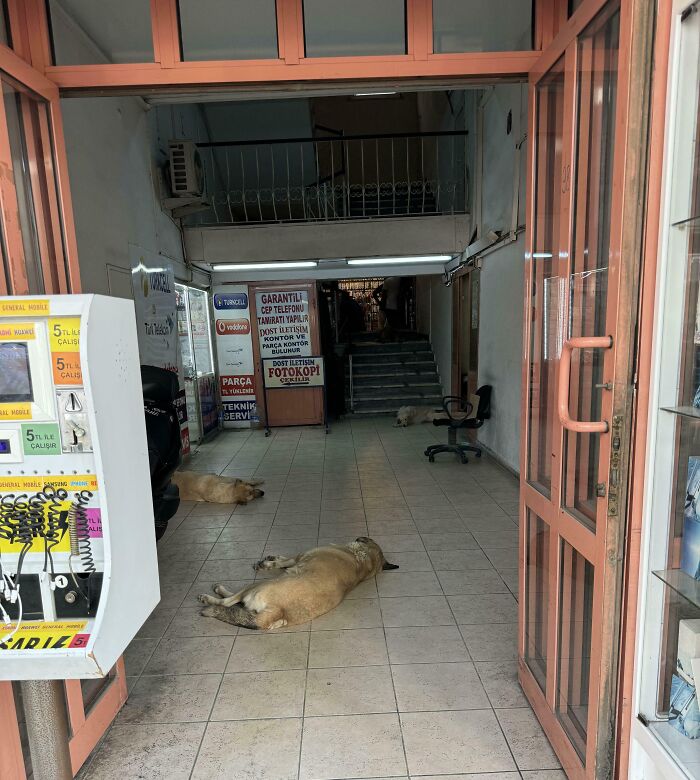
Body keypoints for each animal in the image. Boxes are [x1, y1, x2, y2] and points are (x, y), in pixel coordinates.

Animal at [198, 540, 400, 632]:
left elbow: (283, 561)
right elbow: (282, 559)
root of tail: (279, 611)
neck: (362, 564)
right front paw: (270, 559)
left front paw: (268, 563)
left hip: (258, 585)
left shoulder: (298, 557)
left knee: (227, 602)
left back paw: (213, 595)